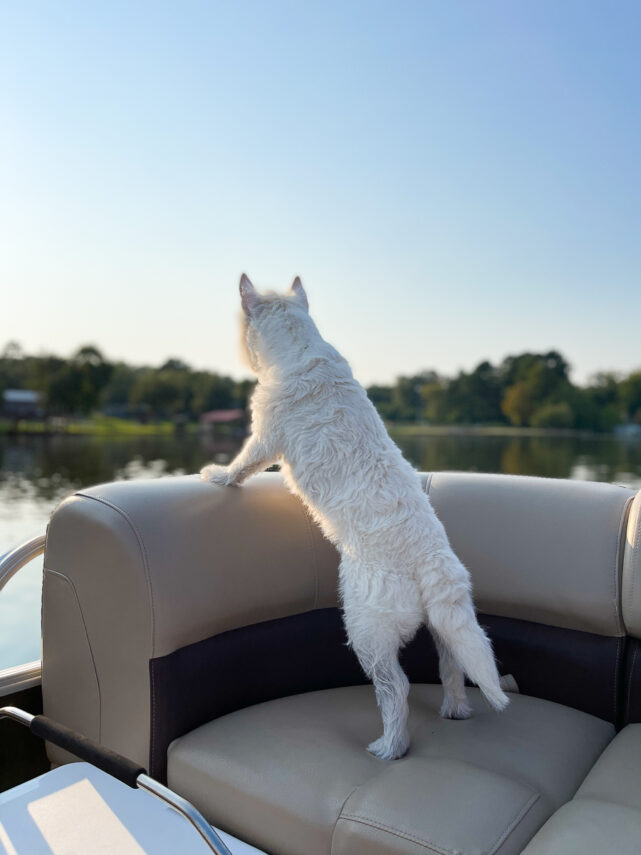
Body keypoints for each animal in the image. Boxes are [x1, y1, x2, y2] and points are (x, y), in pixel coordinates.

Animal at [202, 276, 508, 764]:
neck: (301, 348)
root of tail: (431, 558)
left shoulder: (265, 435)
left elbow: (242, 464)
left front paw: (217, 476)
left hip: (367, 628)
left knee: (396, 688)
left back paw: (389, 747)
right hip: (445, 622)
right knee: (452, 665)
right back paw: (455, 710)